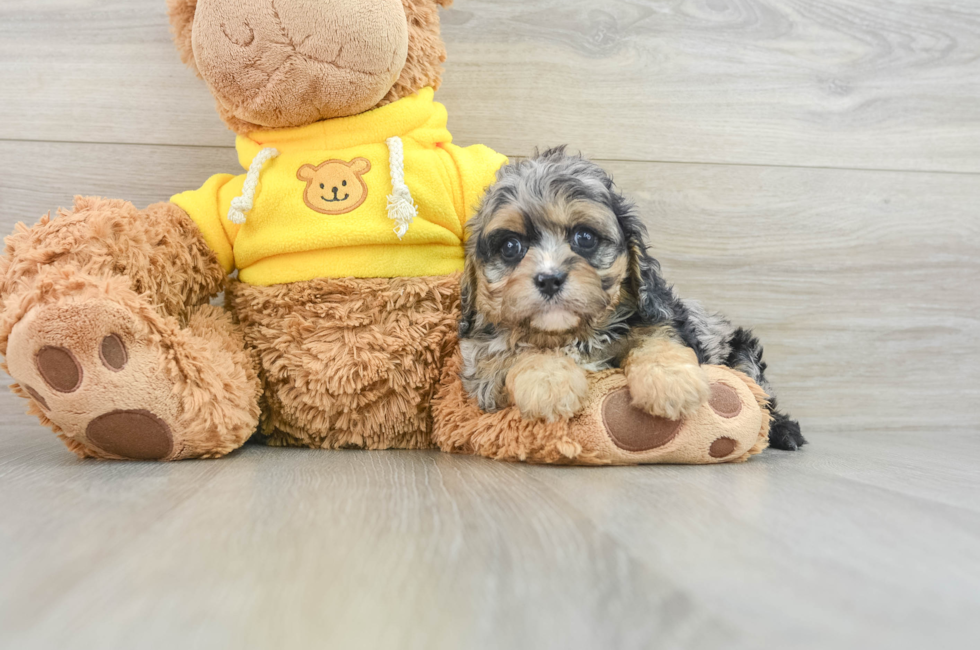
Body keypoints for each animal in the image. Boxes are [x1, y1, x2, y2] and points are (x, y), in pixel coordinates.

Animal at [460, 147, 804, 450]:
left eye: (584, 237)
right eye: (510, 246)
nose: (549, 279)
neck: (573, 334)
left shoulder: (662, 317)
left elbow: (656, 339)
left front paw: (671, 383)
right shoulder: (482, 366)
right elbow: (517, 351)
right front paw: (549, 384)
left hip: (743, 354)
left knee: (762, 398)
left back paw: (786, 433)